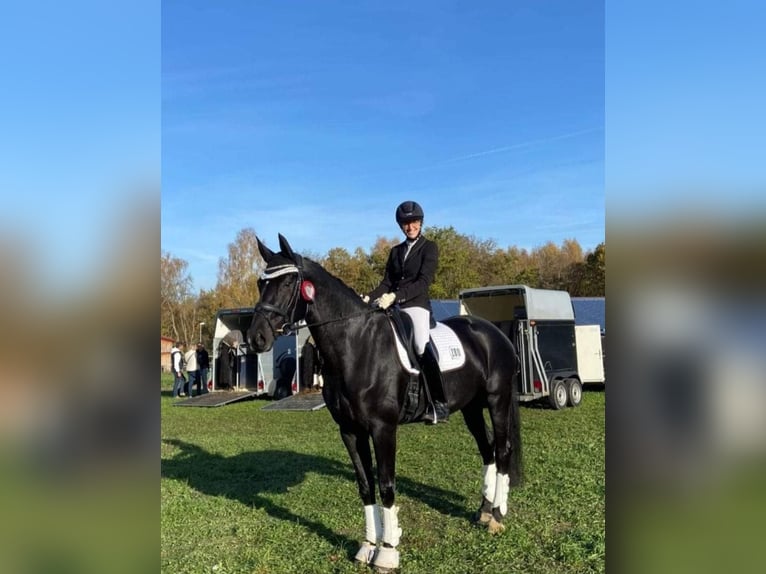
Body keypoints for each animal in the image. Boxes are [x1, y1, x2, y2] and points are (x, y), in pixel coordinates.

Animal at [249, 236, 524, 572]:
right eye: (261, 283)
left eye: (288, 282)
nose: (256, 338)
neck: (356, 344)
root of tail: (494, 332)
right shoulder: (350, 430)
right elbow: (366, 486)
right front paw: (367, 546)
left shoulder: (383, 429)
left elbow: (386, 486)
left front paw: (388, 552)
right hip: (471, 407)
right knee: (487, 451)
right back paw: (484, 510)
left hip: (498, 400)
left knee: (502, 450)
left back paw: (497, 515)